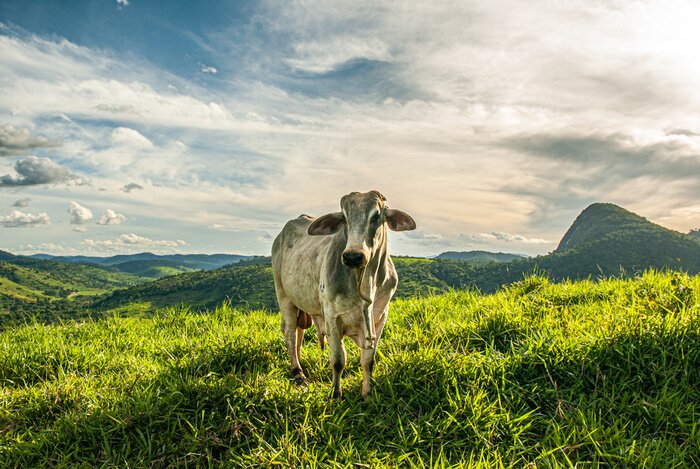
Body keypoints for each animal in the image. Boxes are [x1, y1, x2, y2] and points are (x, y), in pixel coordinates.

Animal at [271, 190, 416, 399]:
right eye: (344, 218)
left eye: (376, 216)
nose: (353, 256)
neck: (365, 284)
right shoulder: (332, 318)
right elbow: (339, 360)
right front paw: (335, 393)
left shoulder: (380, 318)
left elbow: (368, 361)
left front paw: (367, 393)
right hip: (283, 295)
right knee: (290, 333)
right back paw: (297, 372)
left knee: (298, 332)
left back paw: (299, 364)